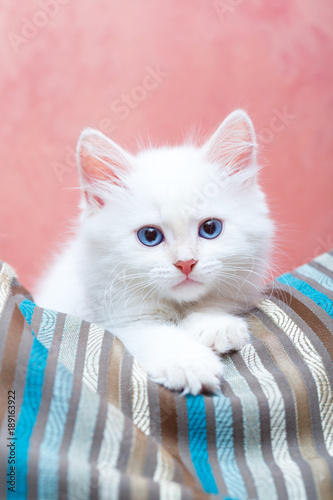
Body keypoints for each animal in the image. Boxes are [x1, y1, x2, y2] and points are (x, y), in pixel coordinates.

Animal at [35, 109, 272, 394]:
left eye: (210, 228)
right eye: (150, 236)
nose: (186, 263)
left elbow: (215, 302)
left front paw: (214, 325)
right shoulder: (120, 320)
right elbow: (157, 334)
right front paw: (190, 364)